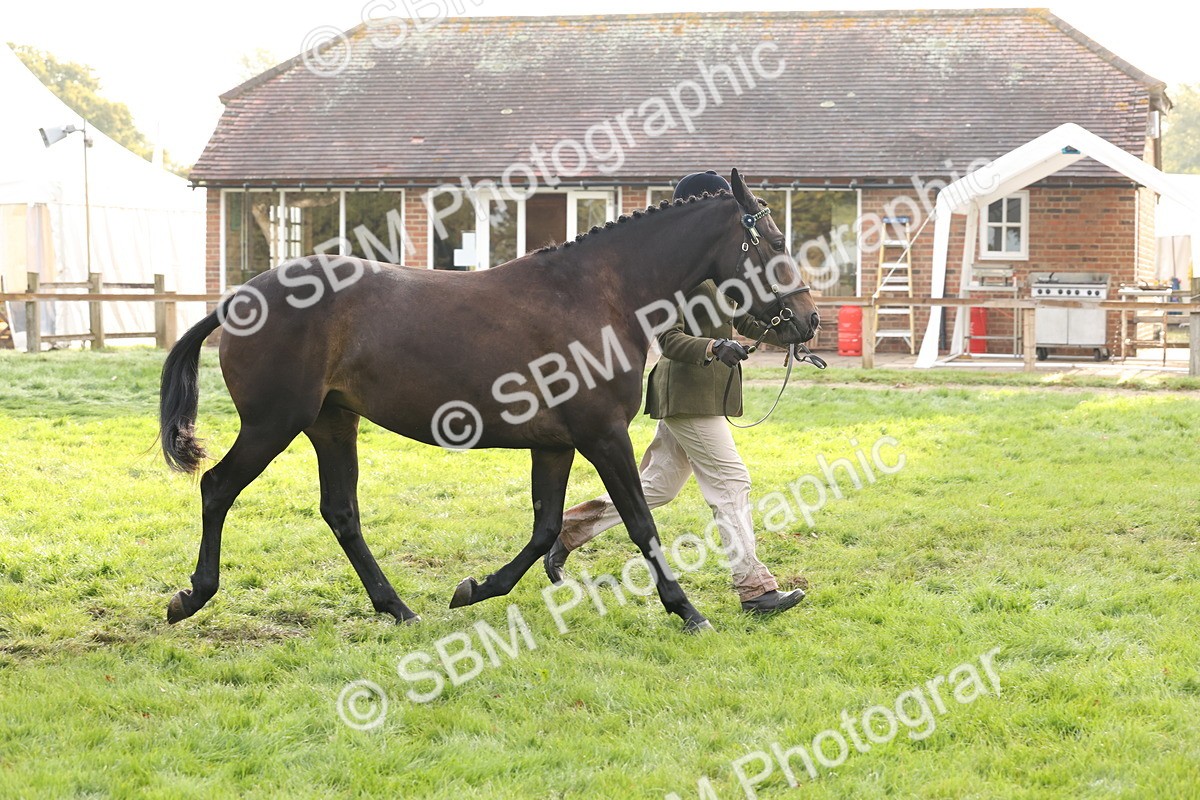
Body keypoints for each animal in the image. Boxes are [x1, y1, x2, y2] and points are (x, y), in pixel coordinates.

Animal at [159, 169, 820, 632]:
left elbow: (545, 527)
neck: (598, 295)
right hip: (274, 423)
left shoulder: (556, 444)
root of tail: (239, 299)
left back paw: (398, 608)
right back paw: (191, 596)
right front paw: (687, 611)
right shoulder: (603, 434)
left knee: (341, 511)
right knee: (218, 487)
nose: (808, 321)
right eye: (774, 241)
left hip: (331, 422)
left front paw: (475, 588)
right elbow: (639, 522)